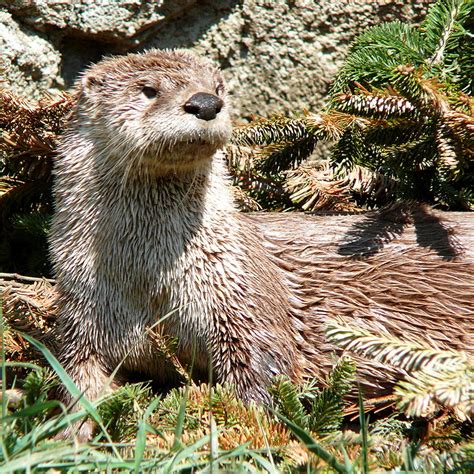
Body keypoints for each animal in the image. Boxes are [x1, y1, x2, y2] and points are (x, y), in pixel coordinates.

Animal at [50, 49, 472, 440]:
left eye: (218, 87)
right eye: (148, 90)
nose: (205, 103)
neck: (147, 280)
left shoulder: (239, 296)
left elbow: (264, 373)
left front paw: (243, 427)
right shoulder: (83, 312)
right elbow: (77, 380)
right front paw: (73, 435)